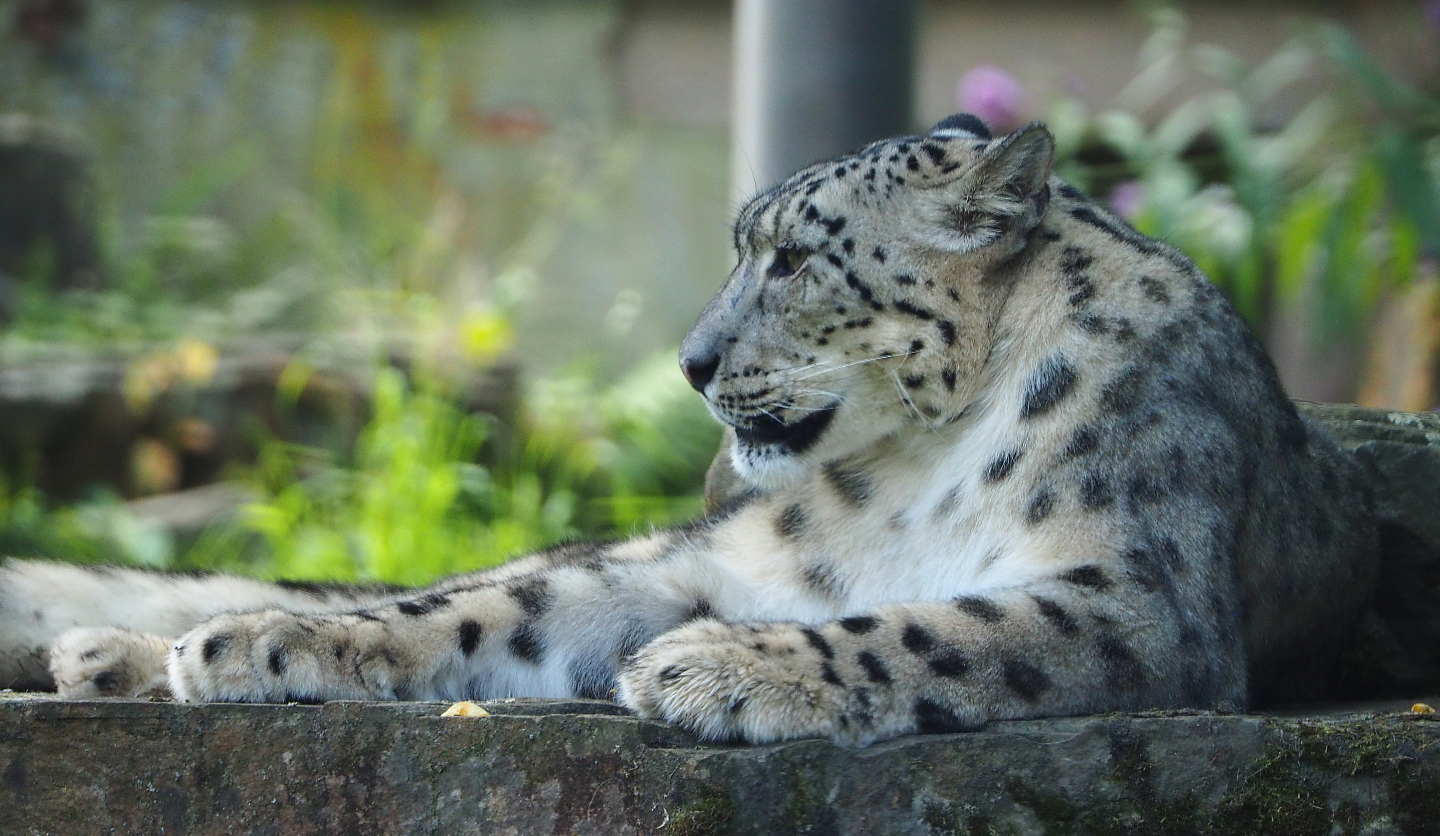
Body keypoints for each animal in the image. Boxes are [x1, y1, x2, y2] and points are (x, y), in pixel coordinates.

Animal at [0, 114, 1378, 747]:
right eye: (744, 248)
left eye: (792, 258)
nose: (693, 360)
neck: (924, 462)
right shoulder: (720, 563)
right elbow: (482, 610)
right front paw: (265, 643)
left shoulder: (1136, 594)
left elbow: (933, 623)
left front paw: (711, 666)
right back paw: (139, 647)